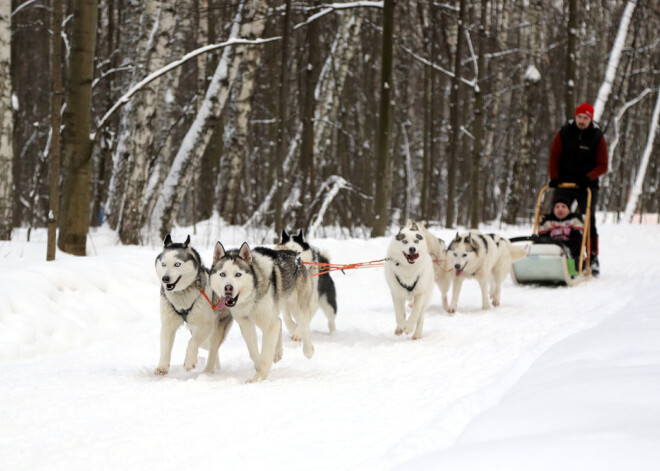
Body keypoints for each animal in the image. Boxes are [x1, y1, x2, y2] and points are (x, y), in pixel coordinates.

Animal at [155, 235, 235, 376]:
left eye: (177, 264)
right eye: (163, 264)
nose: (165, 278)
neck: (181, 295)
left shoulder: (205, 325)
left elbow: (192, 342)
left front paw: (189, 361)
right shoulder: (168, 325)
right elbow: (165, 348)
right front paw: (162, 366)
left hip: (216, 329)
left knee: (212, 350)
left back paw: (208, 371)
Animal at [211, 242, 314, 382]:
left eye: (238, 274)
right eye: (222, 274)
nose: (228, 288)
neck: (249, 298)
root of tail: (294, 255)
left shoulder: (268, 325)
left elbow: (265, 354)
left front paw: (259, 378)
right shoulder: (246, 324)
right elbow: (254, 352)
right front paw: (258, 368)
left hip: (296, 308)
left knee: (304, 325)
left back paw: (308, 351)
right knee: (279, 322)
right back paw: (277, 353)